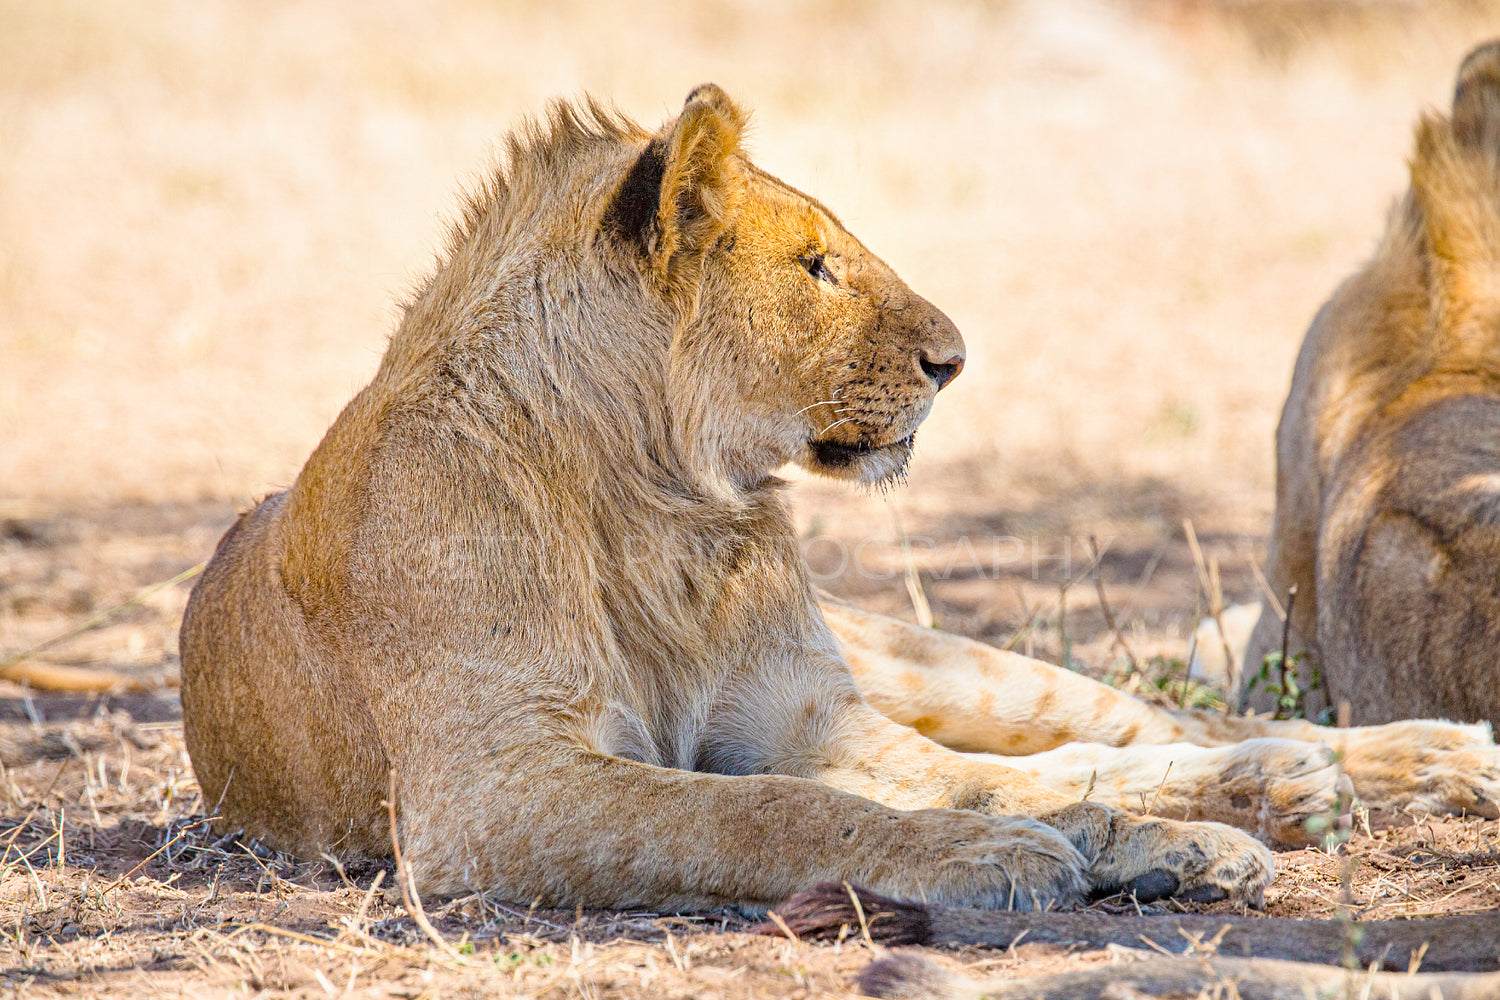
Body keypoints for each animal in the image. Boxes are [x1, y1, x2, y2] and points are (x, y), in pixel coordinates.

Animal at [181, 86, 1494, 917]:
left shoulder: (809, 719)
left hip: (935, 665)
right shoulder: (495, 789)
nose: (955, 359)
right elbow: (769, 815)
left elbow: (945, 784)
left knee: (1128, 726)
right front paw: (1021, 853)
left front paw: (1104, 841)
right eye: (816, 267)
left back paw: (1391, 763)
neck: (664, 508)